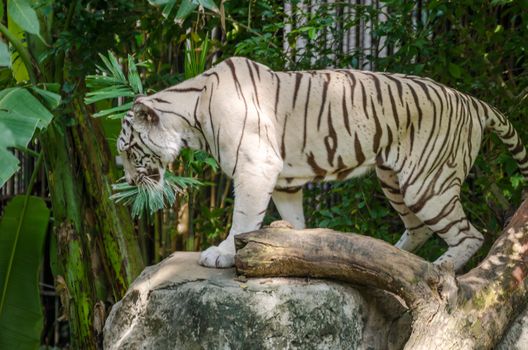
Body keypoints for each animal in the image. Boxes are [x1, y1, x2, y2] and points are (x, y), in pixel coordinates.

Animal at [116, 56, 528, 270]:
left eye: (129, 151)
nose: (130, 183)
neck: (191, 117)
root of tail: (473, 100)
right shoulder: (284, 181)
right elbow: (294, 221)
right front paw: (299, 255)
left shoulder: (255, 167)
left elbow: (243, 219)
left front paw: (222, 254)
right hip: (392, 178)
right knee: (420, 229)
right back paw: (393, 255)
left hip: (427, 183)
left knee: (470, 234)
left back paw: (438, 269)